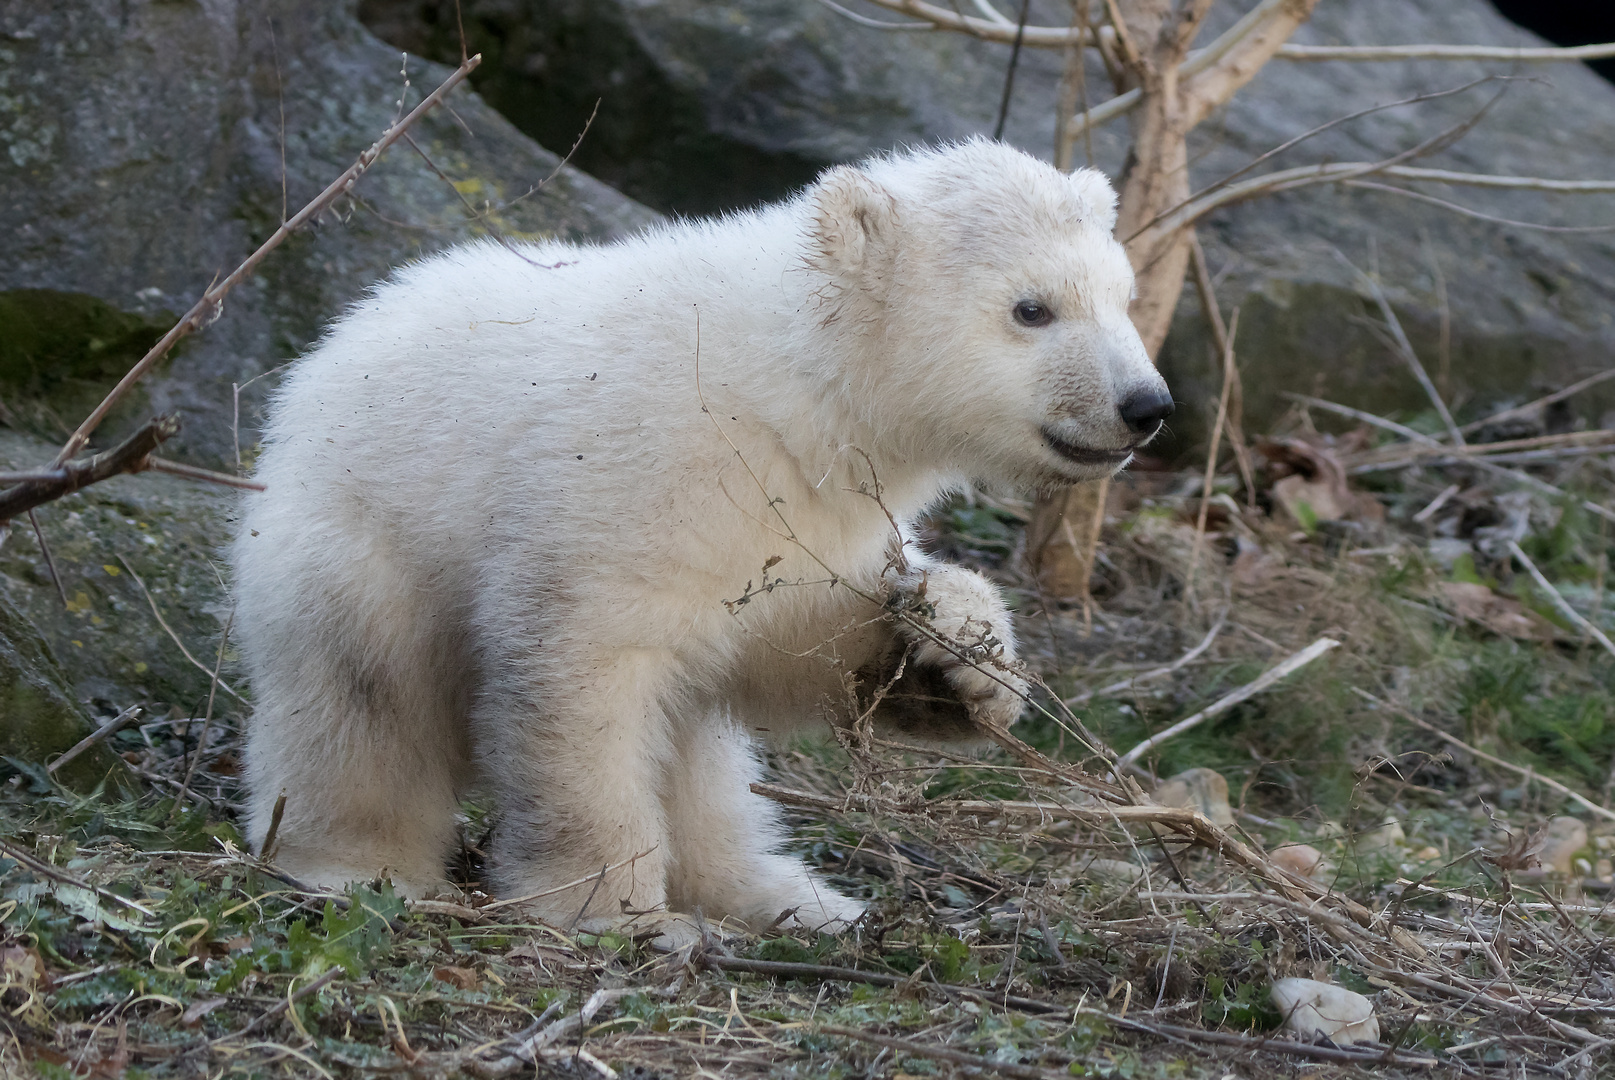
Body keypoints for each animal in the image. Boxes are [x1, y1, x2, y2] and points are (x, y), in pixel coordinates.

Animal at [230, 137, 1175, 936]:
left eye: (1124, 298)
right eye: (1031, 309)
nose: (1146, 405)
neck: (783, 383)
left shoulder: (804, 520)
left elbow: (792, 643)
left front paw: (959, 654)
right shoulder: (631, 487)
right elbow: (588, 680)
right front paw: (610, 909)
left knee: (704, 759)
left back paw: (792, 898)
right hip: (352, 546)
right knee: (361, 707)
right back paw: (359, 865)